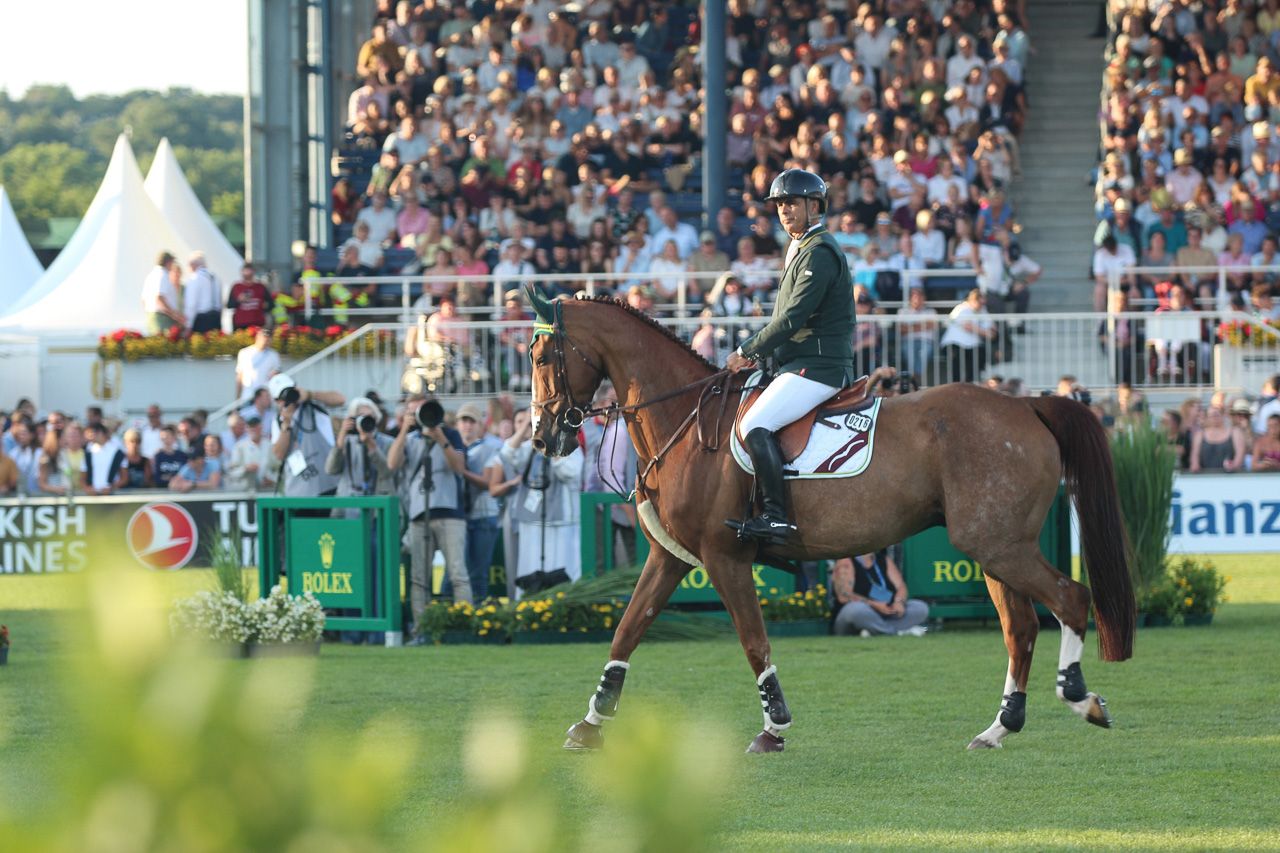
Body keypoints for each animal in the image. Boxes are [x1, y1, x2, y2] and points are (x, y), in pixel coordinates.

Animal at [524, 290, 1135, 754]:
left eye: (541, 357)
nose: (543, 438)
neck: (684, 421)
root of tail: (1026, 404)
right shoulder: (670, 558)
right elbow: (627, 630)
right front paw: (591, 723)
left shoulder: (724, 558)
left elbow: (753, 641)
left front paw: (774, 728)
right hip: (993, 549)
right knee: (1022, 627)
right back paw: (998, 728)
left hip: (999, 546)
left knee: (1070, 600)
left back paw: (1082, 699)